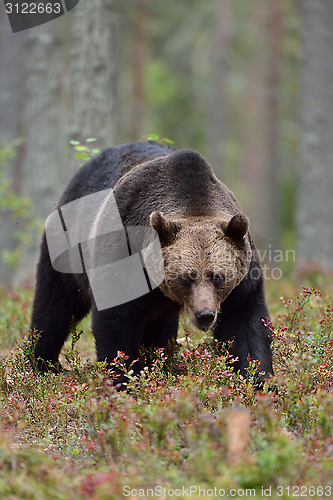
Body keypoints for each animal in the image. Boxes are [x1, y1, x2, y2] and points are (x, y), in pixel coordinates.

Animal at [29, 140, 272, 382]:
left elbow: (244, 323)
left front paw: (258, 381)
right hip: (67, 247)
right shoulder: (122, 253)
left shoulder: (242, 281)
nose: (205, 315)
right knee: (55, 306)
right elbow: (116, 324)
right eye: (186, 278)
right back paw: (43, 364)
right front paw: (123, 378)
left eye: (218, 277)